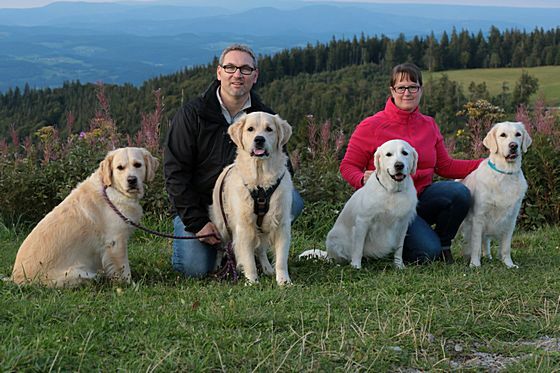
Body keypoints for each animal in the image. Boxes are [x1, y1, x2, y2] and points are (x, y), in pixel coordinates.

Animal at [11, 147, 160, 286]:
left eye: (138, 165)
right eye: (120, 168)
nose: (132, 180)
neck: (111, 189)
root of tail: (15, 279)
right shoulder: (116, 241)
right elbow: (124, 269)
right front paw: (131, 286)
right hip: (79, 274)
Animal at [210, 112, 294, 284]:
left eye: (269, 129)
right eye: (250, 129)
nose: (259, 139)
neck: (261, 180)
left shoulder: (281, 223)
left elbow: (281, 258)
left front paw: (283, 280)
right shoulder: (244, 226)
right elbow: (248, 258)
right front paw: (252, 280)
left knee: (260, 249)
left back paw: (267, 268)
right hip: (221, 226)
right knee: (220, 247)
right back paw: (217, 266)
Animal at [302, 138, 416, 268]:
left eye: (405, 153)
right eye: (388, 154)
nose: (399, 165)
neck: (392, 191)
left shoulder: (403, 224)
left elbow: (399, 248)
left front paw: (399, 265)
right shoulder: (363, 221)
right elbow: (358, 248)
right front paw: (356, 266)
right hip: (333, 237)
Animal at [460, 120, 532, 266]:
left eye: (518, 134)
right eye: (502, 135)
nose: (513, 146)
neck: (505, 173)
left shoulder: (511, 219)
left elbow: (506, 247)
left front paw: (509, 264)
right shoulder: (479, 217)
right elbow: (475, 244)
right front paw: (475, 264)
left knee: (485, 241)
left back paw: (488, 256)